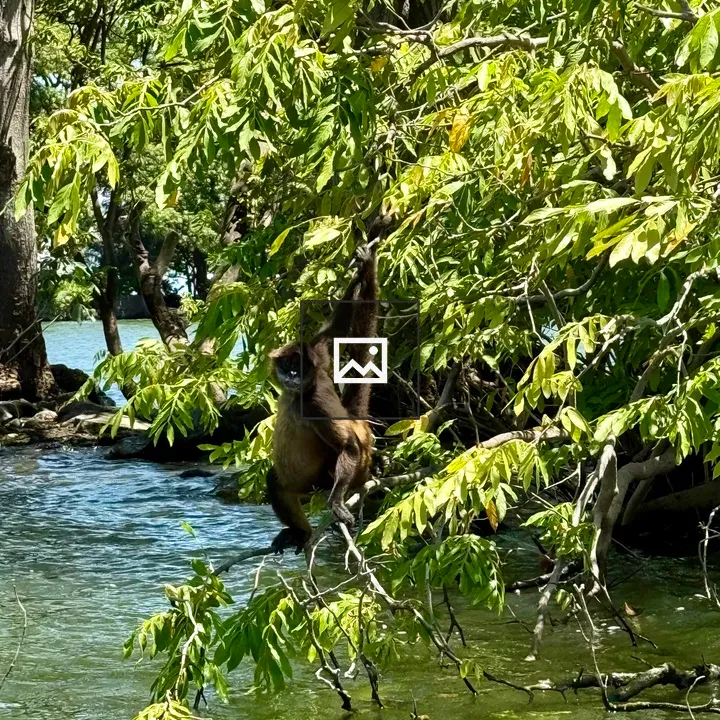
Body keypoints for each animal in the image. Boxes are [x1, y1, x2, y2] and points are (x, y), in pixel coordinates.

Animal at [266, 216, 390, 553]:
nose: (291, 378)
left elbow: (347, 445)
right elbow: (335, 326)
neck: (299, 393)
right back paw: (300, 532)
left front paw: (336, 504)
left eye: (298, 370)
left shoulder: (315, 403)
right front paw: (365, 265)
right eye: (287, 367)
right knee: (276, 482)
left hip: (328, 475)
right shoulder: (317, 354)